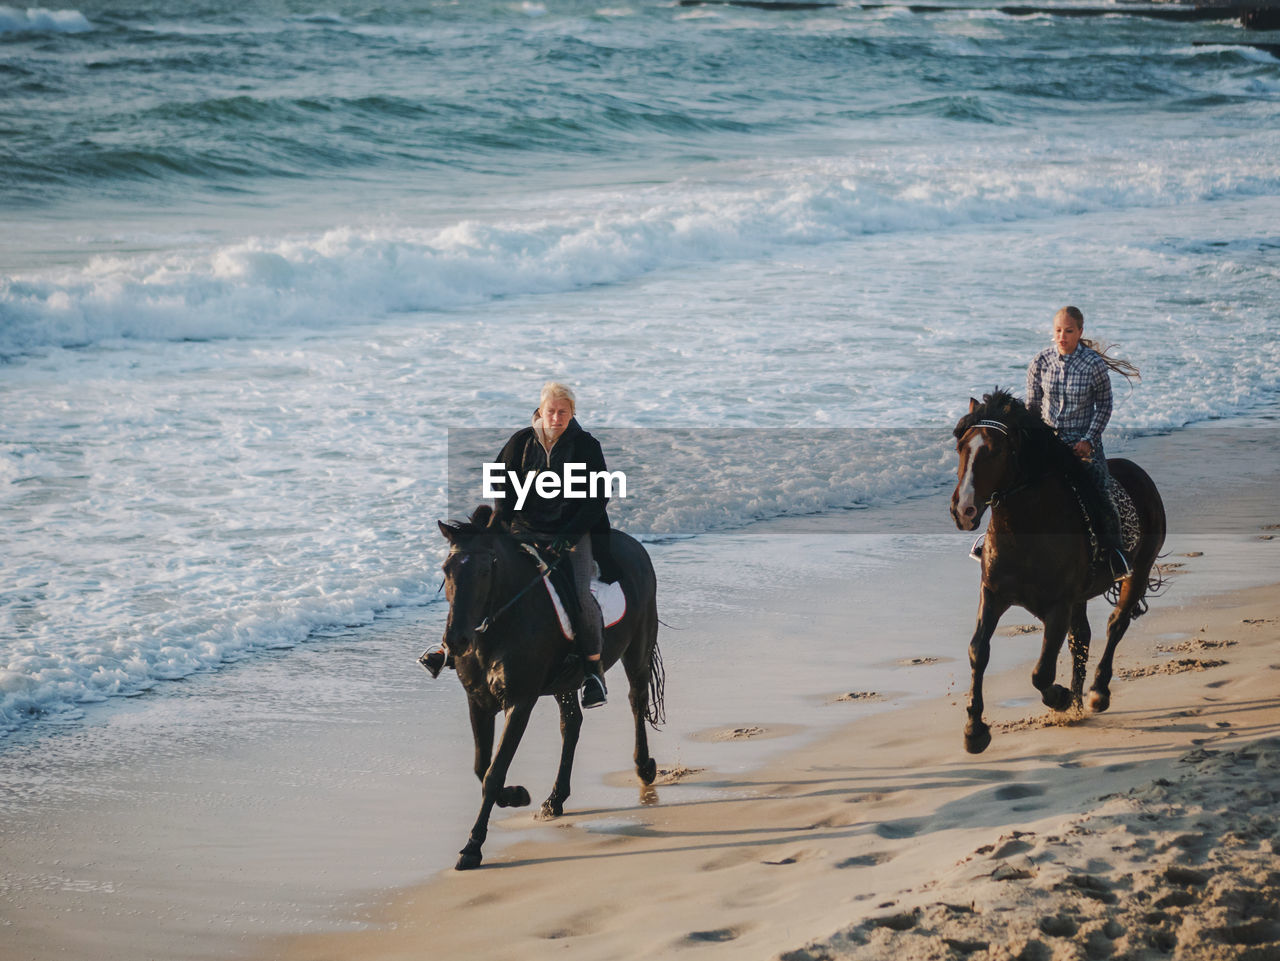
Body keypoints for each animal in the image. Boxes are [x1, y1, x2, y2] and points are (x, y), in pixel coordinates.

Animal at [437, 504, 665, 870]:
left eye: (486, 570)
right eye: (447, 570)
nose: (455, 640)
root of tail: (634, 545)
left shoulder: (520, 700)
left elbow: (494, 771)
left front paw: (472, 847)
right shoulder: (478, 701)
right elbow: (481, 767)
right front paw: (516, 795)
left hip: (638, 646)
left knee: (636, 700)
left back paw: (644, 767)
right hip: (566, 681)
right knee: (571, 725)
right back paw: (555, 799)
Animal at [952, 391, 1172, 757]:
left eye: (995, 450)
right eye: (961, 448)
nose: (964, 510)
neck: (1025, 529)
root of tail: (1139, 473)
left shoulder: (1058, 606)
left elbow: (1041, 672)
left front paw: (1061, 698)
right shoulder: (993, 594)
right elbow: (978, 651)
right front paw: (974, 730)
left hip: (1137, 572)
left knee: (1116, 624)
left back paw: (1096, 693)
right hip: (1081, 597)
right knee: (1082, 637)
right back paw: (1080, 703)